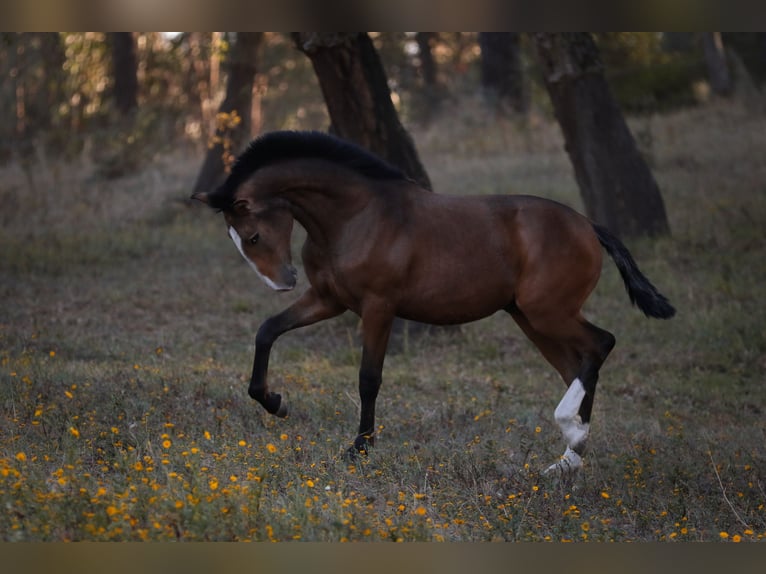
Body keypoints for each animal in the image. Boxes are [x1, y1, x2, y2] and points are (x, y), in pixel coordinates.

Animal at [194, 130, 680, 476]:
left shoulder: (378, 306)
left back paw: (571, 437)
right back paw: (567, 459)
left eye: (253, 235)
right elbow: (268, 330)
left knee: (601, 344)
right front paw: (274, 402)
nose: (283, 282)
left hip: (549, 311)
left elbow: (369, 378)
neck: (356, 216)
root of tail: (587, 225)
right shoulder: (328, 300)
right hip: (530, 317)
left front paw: (359, 448)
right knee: (576, 366)